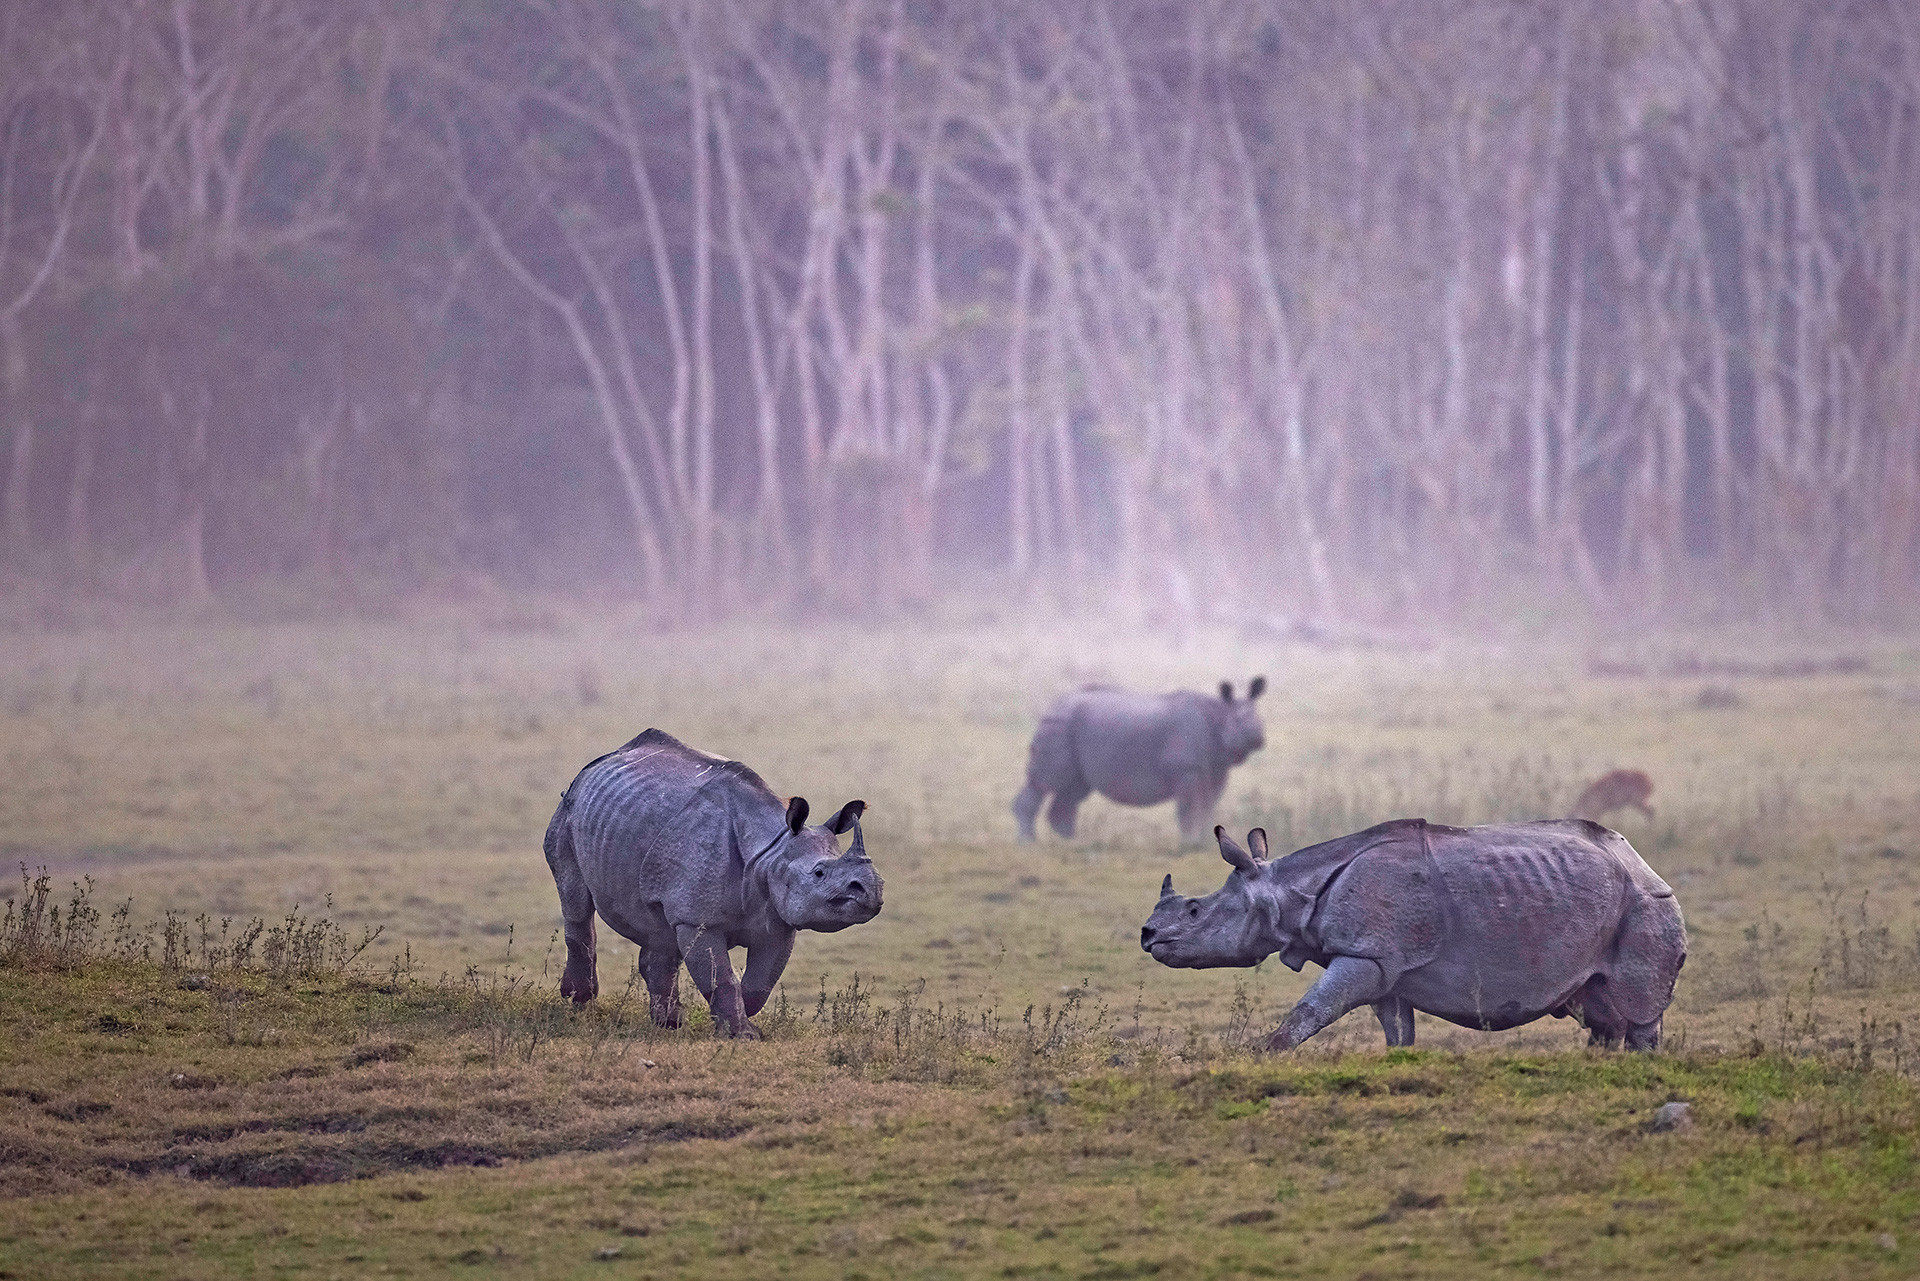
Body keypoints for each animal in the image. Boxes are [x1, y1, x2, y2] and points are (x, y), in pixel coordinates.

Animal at [543, 729, 882, 1038]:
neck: (771, 850)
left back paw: (668, 1023)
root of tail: (599, 762)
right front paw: (740, 1035)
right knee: (576, 901)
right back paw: (579, 1002)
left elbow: (759, 983)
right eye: (819, 873)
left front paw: (740, 1026)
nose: (872, 889)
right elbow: (722, 977)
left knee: (659, 930)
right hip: (568, 810)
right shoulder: (697, 919)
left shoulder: (779, 919)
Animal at [1013, 678, 1267, 844]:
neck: (1219, 715)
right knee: (1046, 782)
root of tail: (1052, 706)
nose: (1258, 738)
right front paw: (1188, 844)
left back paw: (1072, 842)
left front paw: (1206, 841)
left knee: (1073, 789)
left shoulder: (1216, 770)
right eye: (1237, 721)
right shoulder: (1186, 770)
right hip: (1059, 725)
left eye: (1260, 718)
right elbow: (1188, 809)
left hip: (1069, 727)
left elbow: (1208, 808)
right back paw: (1029, 843)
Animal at [1139, 819, 1685, 1050]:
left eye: (1194, 910)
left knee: (1637, 1007)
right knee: (1597, 1008)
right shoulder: (1386, 967)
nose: (1147, 934)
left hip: (1645, 904)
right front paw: (1398, 1061)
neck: (1287, 890)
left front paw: (1258, 1056)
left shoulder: (1367, 956)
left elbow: (1310, 1010)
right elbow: (1397, 1030)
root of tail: (1644, 862)